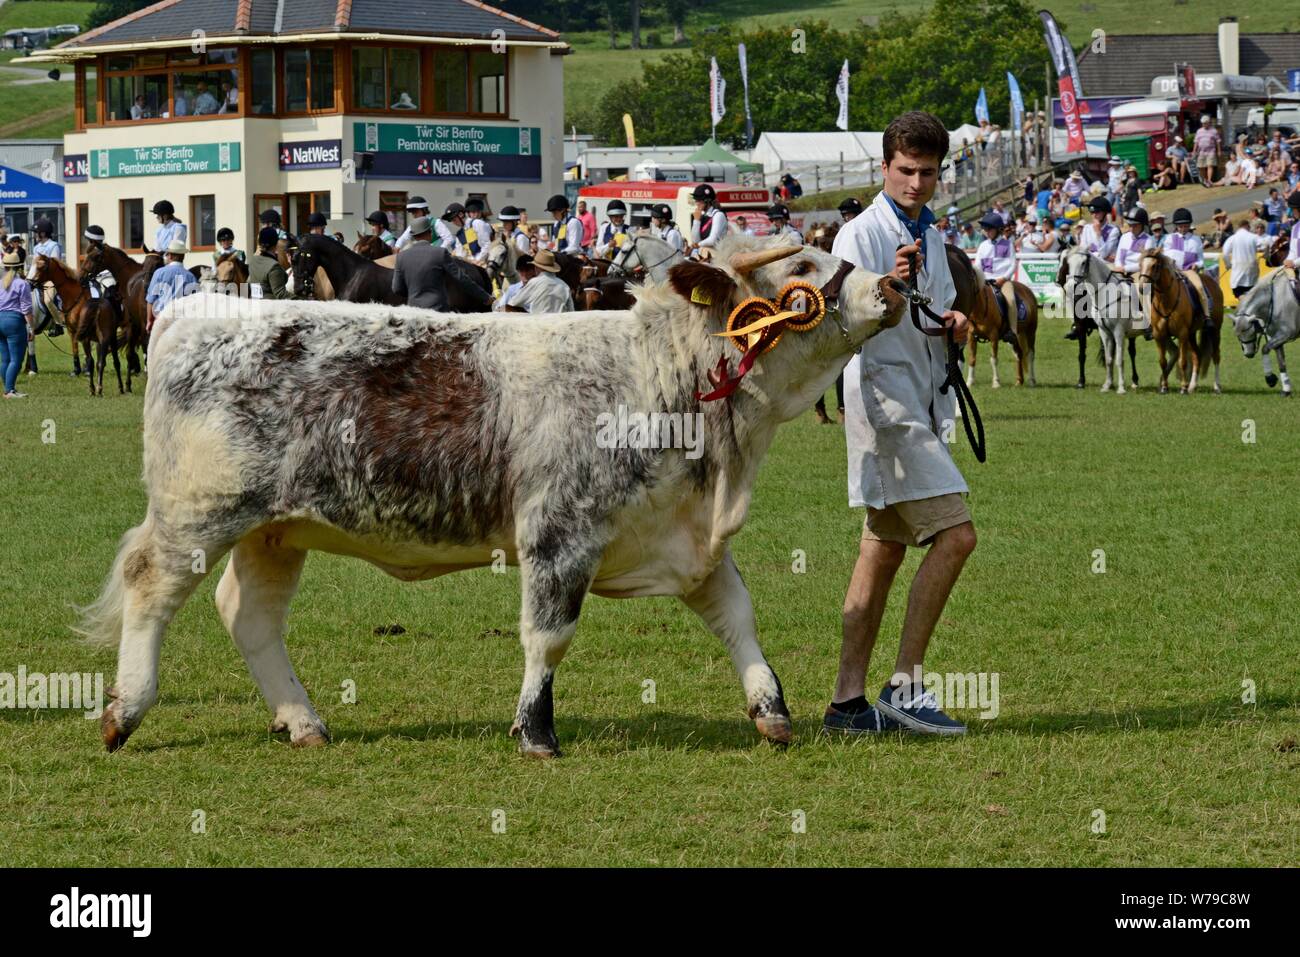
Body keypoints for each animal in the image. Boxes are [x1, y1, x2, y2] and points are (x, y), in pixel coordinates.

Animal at [31, 254, 133, 395]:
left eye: (41, 267)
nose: (30, 283)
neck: (74, 297)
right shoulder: (73, 331)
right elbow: (76, 350)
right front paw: (77, 371)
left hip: (124, 329)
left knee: (128, 355)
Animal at [73, 234, 904, 754]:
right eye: (803, 264)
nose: (894, 281)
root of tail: (191, 311)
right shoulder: (559, 533)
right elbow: (549, 635)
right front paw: (536, 729)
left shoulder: (683, 535)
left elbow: (738, 616)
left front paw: (771, 709)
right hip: (198, 513)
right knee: (150, 586)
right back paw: (126, 710)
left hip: (274, 531)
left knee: (250, 616)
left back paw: (301, 719)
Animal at [1060, 250, 1144, 395]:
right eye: (1068, 263)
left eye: (1083, 263)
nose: (1069, 286)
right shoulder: (1093, 329)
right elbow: (1091, 356)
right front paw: (1086, 382)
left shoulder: (1117, 331)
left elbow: (1119, 357)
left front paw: (1119, 386)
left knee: (1132, 352)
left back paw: (1135, 381)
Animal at [1138, 250, 1216, 395]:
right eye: (1140, 264)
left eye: (1154, 266)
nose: (1142, 287)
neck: (1166, 301)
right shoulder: (1159, 335)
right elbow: (1163, 362)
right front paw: (1164, 387)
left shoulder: (1182, 334)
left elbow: (1183, 361)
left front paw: (1183, 388)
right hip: (1191, 335)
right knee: (1197, 355)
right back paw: (1192, 386)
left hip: (1212, 331)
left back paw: (1213, 387)